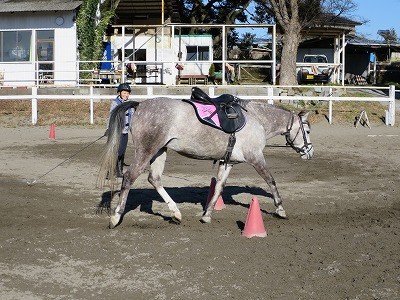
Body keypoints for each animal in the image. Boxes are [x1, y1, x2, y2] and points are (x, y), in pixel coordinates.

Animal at [97, 96, 312, 227]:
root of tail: (140, 105)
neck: (257, 120)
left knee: (155, 179)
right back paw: (116, 216)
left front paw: (207, 214)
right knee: (129, 177)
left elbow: (218, 188)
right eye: (308, 130)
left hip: (159, 152)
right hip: (146, 151)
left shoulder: (227, 162)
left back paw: (176, 213)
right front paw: (280, 209)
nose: (309, 152)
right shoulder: (256, 158)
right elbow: (271, 180)